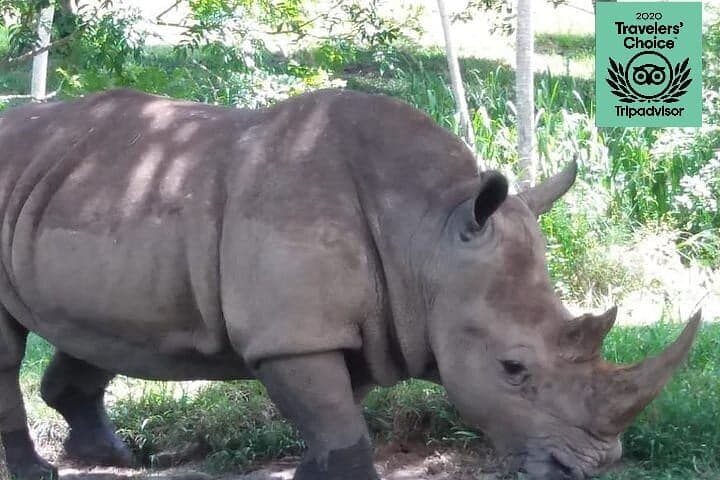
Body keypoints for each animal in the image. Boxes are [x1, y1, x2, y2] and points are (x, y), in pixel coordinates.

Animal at [0, 89, 699, 480]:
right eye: (512, 369)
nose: (592, 468)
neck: (427, 233)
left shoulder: (361, 326)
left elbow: (337, 421)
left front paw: (310, 474)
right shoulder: (292, 335)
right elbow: (342, 432)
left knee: (94, 329)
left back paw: (112, 458)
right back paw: (41, 473)